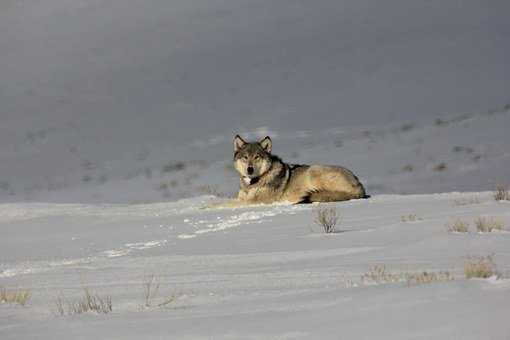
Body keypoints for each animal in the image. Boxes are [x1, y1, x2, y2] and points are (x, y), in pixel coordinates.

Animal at [215, 135, 366, 207]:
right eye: (245, 157)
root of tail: (360, 186)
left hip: (314, 170)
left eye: (257, 157)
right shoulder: (243, 198)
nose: (250, 169)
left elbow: (223, 204)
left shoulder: (255, 202)